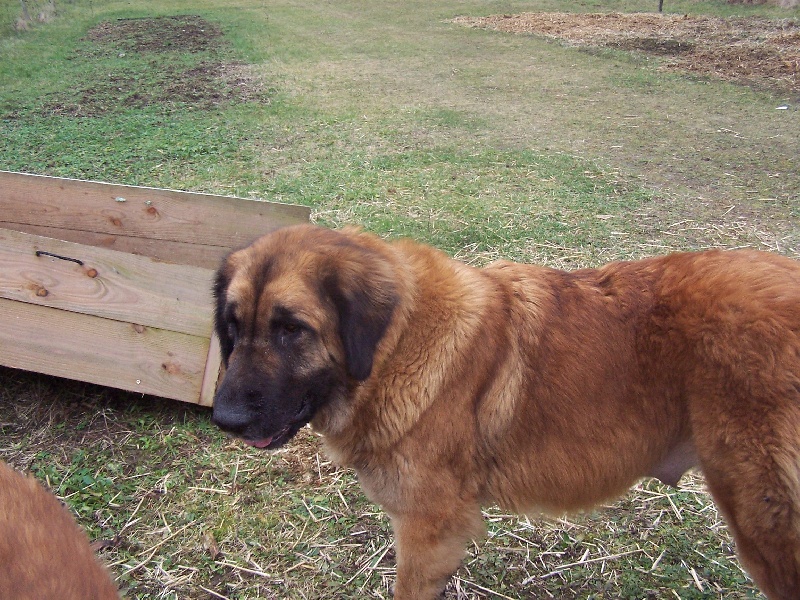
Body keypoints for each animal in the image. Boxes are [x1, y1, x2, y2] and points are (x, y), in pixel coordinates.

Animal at [211, 225, 800, 600]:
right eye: (232, 327)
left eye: (292, 330)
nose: (225, 419)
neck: (396, 345)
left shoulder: (429, 531)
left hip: (767, 524)